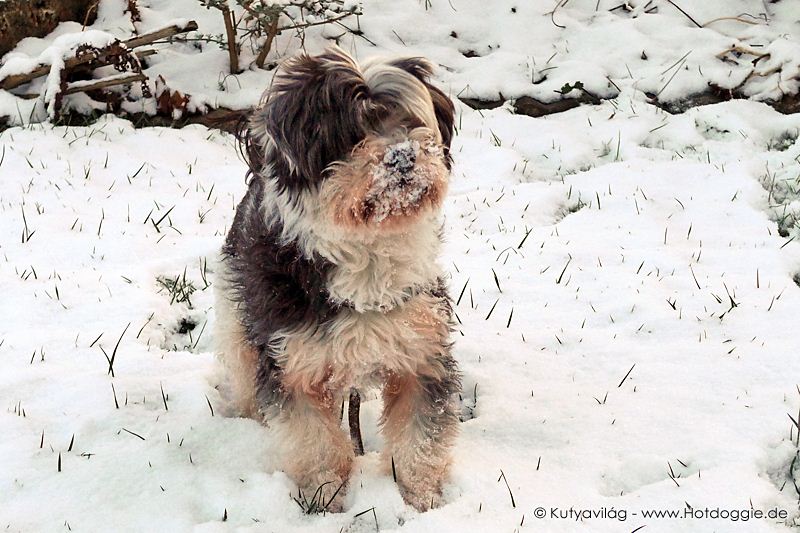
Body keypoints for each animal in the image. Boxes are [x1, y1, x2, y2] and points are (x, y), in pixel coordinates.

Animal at [216, 45, 460, 512]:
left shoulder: (422, 352)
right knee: (242, 374)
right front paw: (324, 502)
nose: (402, 156)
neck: (367, 252)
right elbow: (317, 446)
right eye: (351, 135)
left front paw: (422, 502)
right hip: (237, 320)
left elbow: (420, 438)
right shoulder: (292, 363)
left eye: (409, 121)